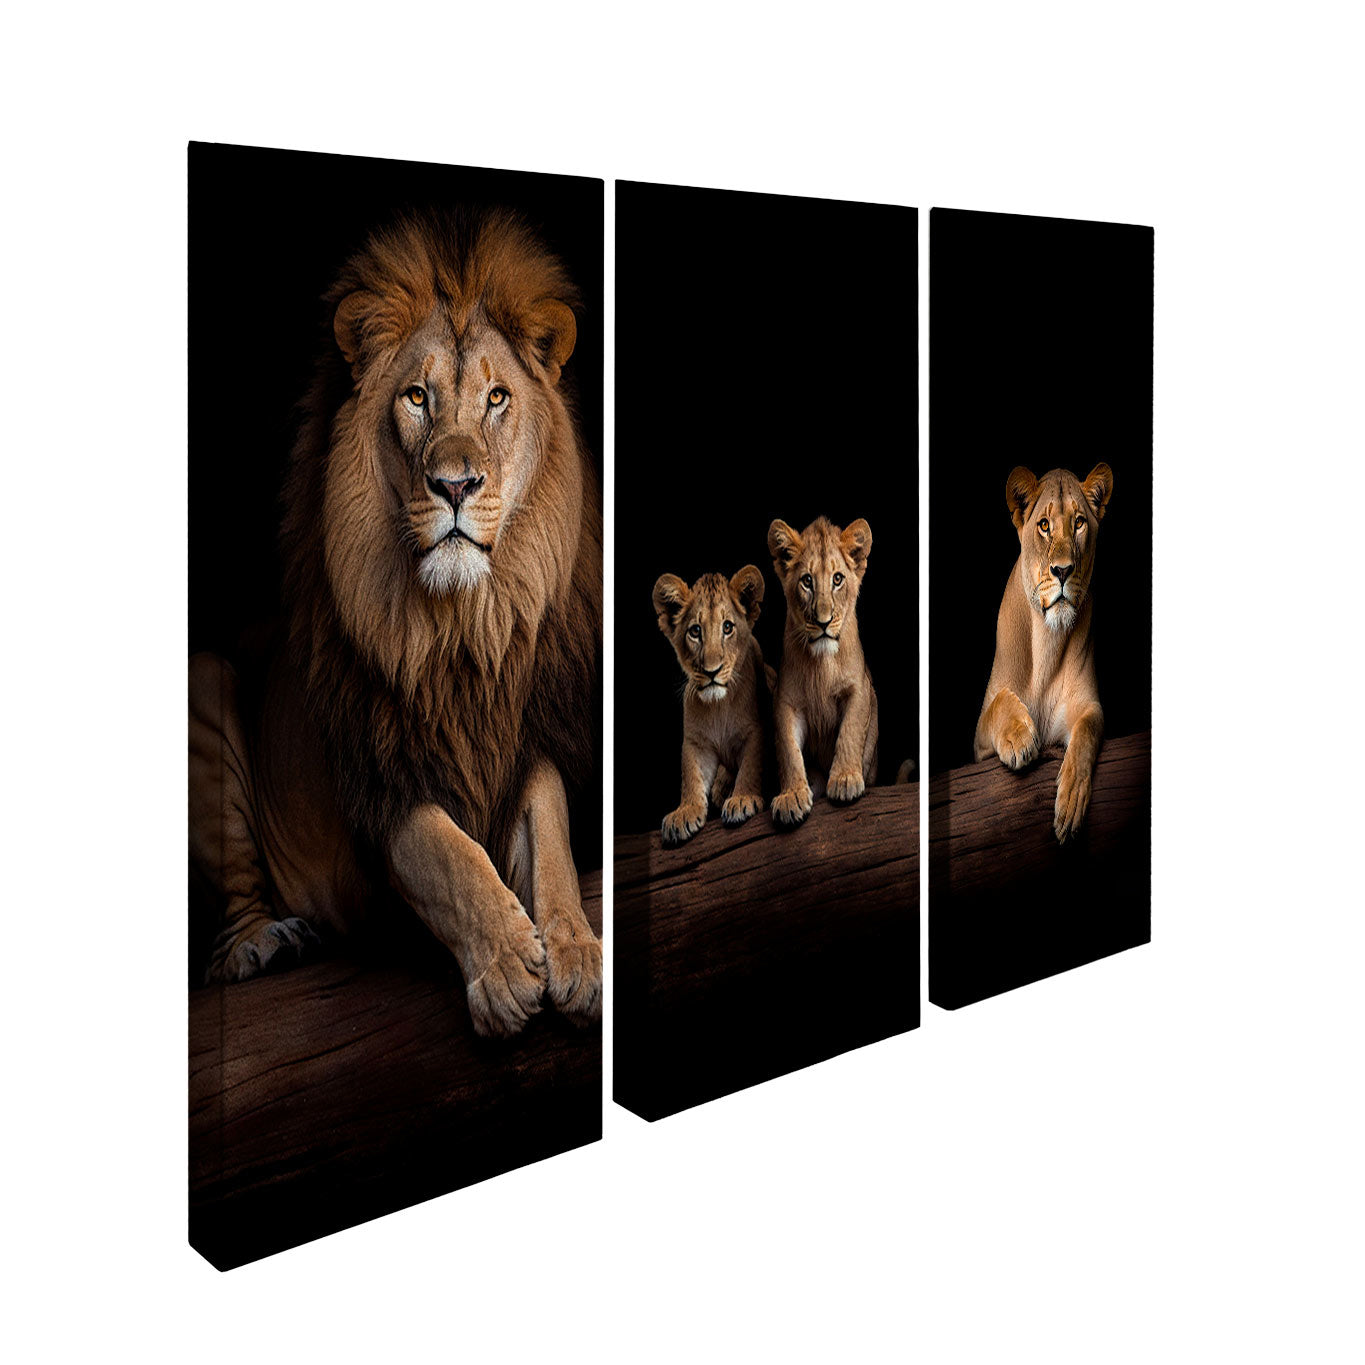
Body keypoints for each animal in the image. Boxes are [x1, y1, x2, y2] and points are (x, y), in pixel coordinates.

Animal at [188, 209, 603, 1038]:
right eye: (416, 396)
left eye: (498, 397)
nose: (455, 484)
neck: (462, 629)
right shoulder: (378, 776)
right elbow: (447, 856)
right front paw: (504, 968)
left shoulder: (524, 736)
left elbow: (554, 838)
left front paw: (577, 952)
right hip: (203, 678)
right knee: (228, 937)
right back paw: (265, 942)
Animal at [651, 566, 771, 846]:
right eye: (695, 631)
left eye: (727, 627)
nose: (711, 671)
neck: (719, 706)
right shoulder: (696, 743)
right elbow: (691, 776)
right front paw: (684, 812)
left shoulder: (756, 730)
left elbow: (750, 765)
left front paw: (742, 799)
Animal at [766, 516, 878, 828]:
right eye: (807, 581)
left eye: (837, 579)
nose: (824, 621)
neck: (822, 663)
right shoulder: (785, 700)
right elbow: (788, 749)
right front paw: (792, 795)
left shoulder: (860, 687)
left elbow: (850, 731)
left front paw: (845, 779)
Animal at [974, 463, 1113, 843]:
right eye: (1045, 525)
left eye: (1079, 523)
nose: (1063, 570)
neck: (1047, 643)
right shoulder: (979, 747)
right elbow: (999, 704)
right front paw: (1020, 737)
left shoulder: (1087, 705)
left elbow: (1087, 731)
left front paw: (1071, 801)